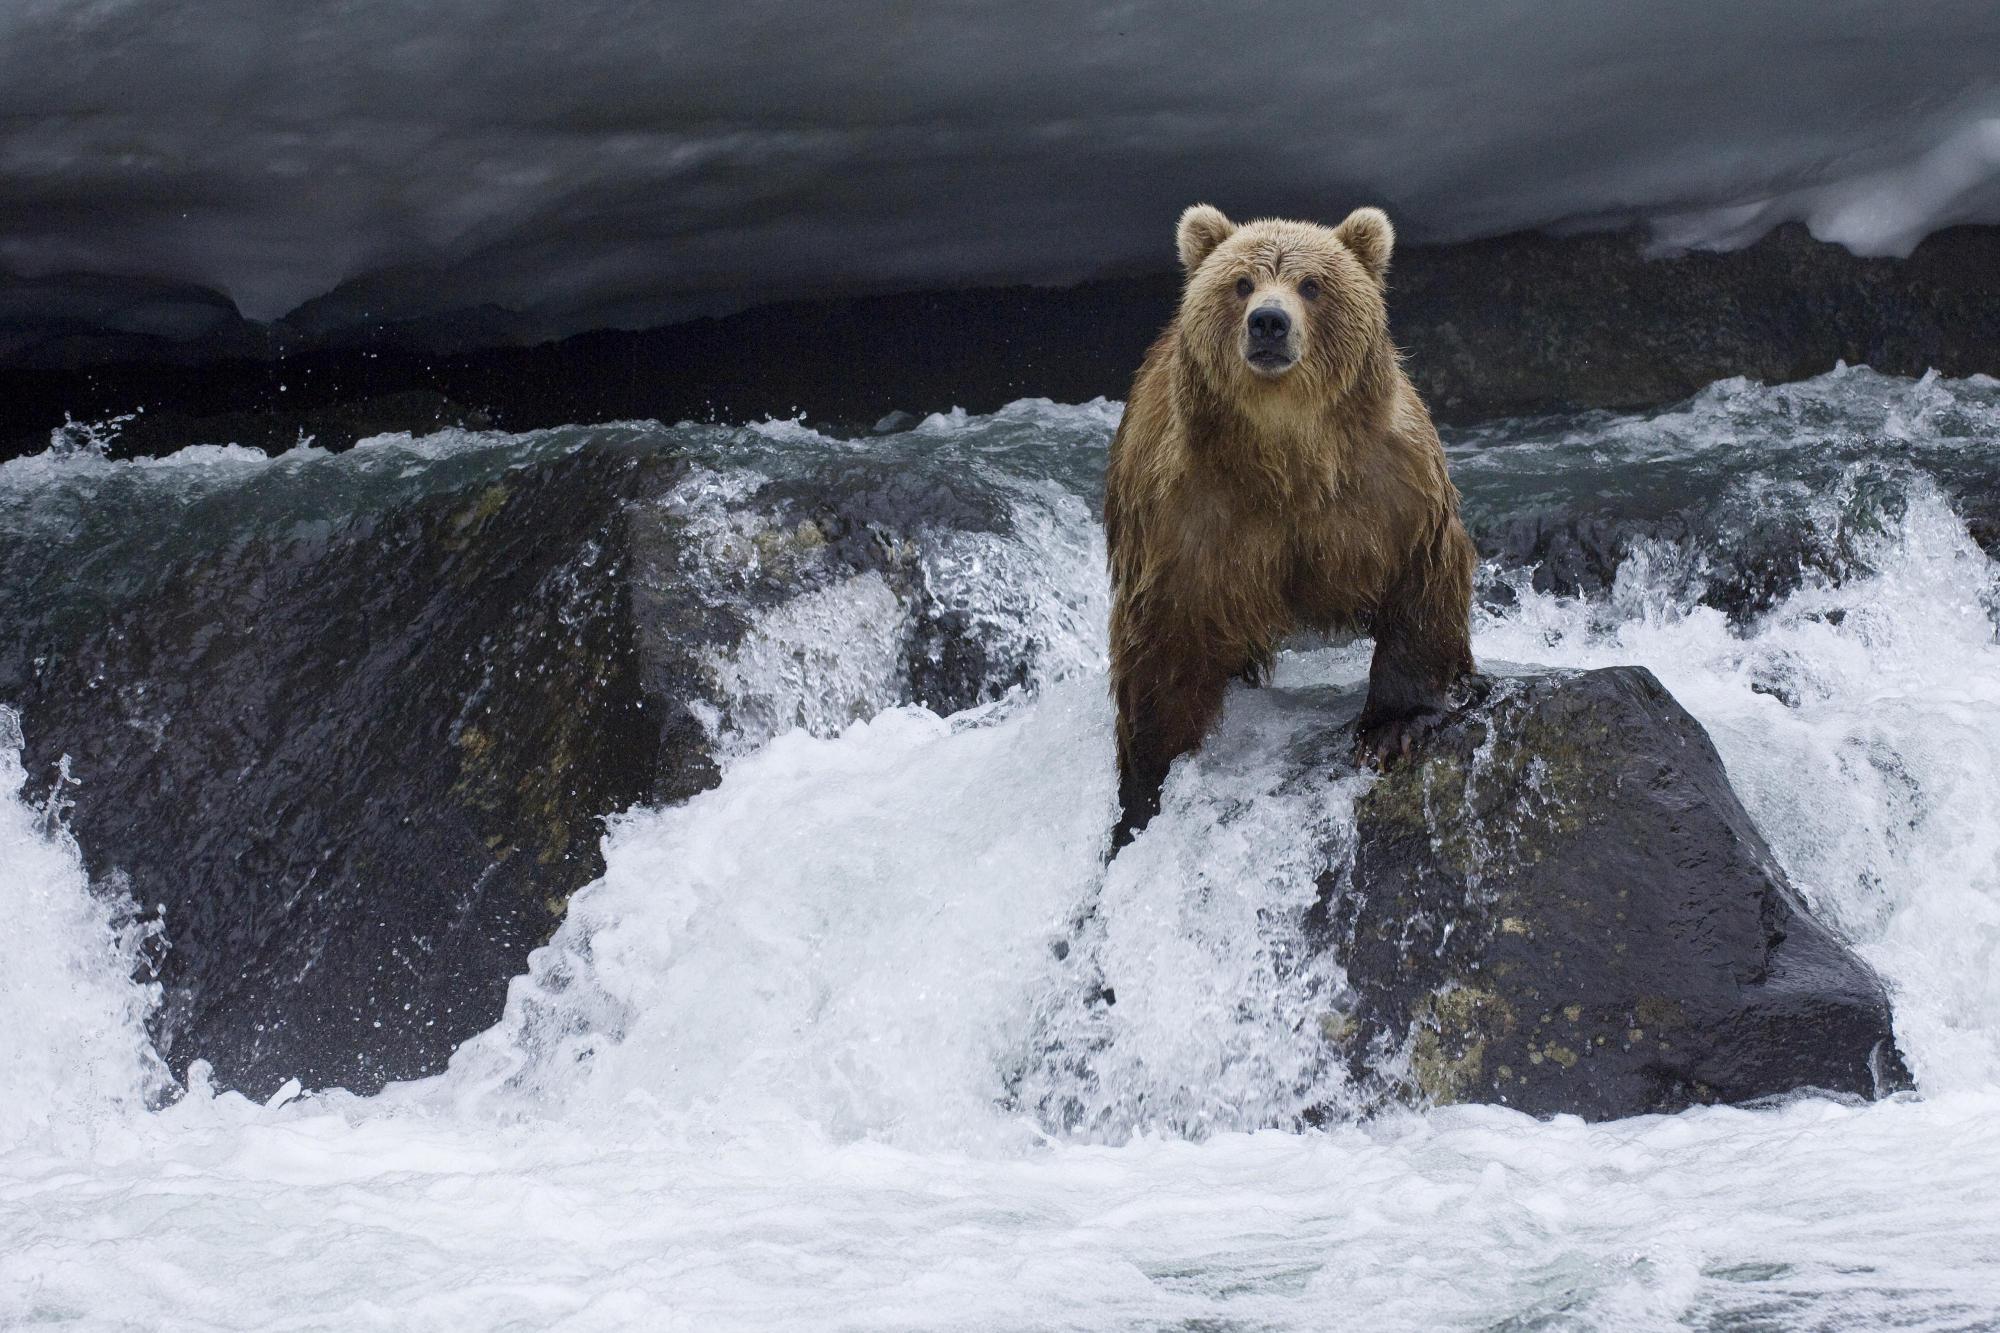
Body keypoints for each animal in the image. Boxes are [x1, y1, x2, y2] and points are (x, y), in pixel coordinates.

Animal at [1105, 203, 1477, 849]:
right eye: (1241, 282)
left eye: (1311, 284)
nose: (1269, 323)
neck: (1286, 455)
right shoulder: (1186, 516)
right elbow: (1160, 646)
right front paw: (1144, 788)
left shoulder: (1387, 485)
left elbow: (1421, 580)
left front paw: (1391, 729)